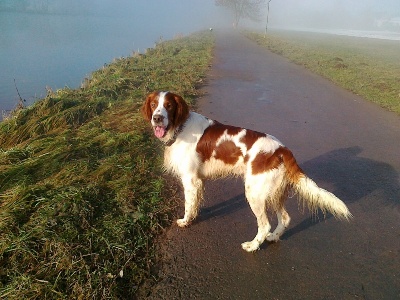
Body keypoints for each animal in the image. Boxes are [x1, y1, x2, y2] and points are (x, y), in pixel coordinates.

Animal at [142, 91, 352, 251]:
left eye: (169, 105)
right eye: (153, 104)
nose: (157, 118)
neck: (181, 127)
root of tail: (281, 149)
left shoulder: (190, 179)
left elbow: (188, 205)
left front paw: (186, 221)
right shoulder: (198, 181)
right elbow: (195, 203)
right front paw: (194, 216)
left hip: (254, 193)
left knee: (265, 225)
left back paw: (252, 246)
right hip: (274, 193)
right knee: (285, 218)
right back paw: (273, 237)